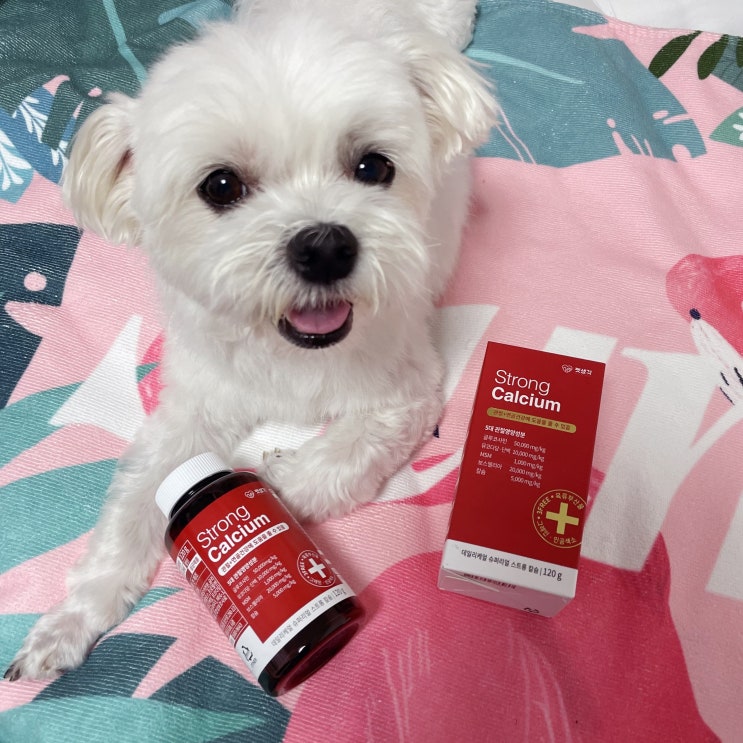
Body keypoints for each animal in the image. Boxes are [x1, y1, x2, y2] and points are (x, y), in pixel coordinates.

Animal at [6, 0, 496, 680]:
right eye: (220, 186)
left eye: (374, 167)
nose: (325, 246)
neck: (285, 349)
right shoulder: (193, 405)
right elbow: (135, 505)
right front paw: (71, 618)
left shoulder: (404, 391)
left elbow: (339, 460)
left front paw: (276, 485)